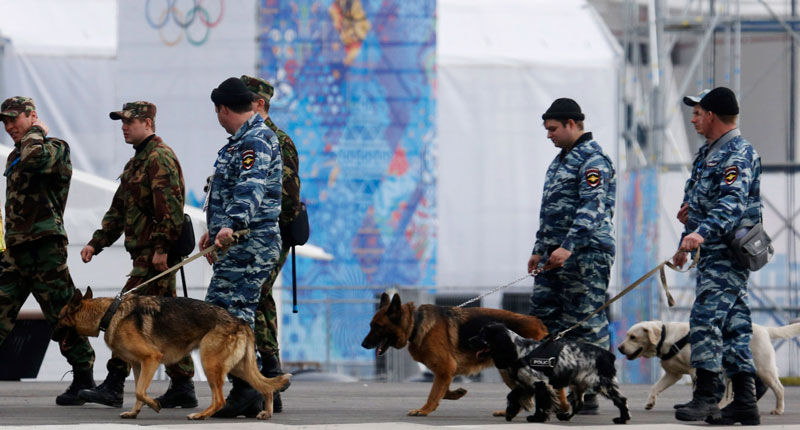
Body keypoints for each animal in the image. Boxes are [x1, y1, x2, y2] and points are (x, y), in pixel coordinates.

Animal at [53, 288, 290, 420]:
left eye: (59, 319)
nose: (52, 336)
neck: (109, 314)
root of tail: (240, 321)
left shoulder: (151, 359)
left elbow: (139, 391)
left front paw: (153, 405)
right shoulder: (139, 366)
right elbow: (138, 391)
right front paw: (135, 412)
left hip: (210, 364)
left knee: (220, 400)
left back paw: (201, 415)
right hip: (238, 367)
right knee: (265, 387)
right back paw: (266, 412)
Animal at [362, 292, 552, 416]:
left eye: (377, 326)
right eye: (370, 325)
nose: (363, 344)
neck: (416, 323)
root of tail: (539, 324)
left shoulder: (445, 368)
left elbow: (433, 393)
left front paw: (424, 410)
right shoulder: (445, 372)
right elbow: (442, 390)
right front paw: (456, 393)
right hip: (507, 371)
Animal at [468, 322, 632, 424]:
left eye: (484, 335)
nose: (469, 340)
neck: (520, 351)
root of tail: (608, 355)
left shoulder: (540, 383)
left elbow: (541, 403)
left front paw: (537, 418)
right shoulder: (526, 384)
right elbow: (513, 395)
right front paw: (510, 412)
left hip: (604, 383)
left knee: (621, 400)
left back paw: (623, 419)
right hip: (578, 385)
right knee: (578, 404)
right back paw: (565, 416)